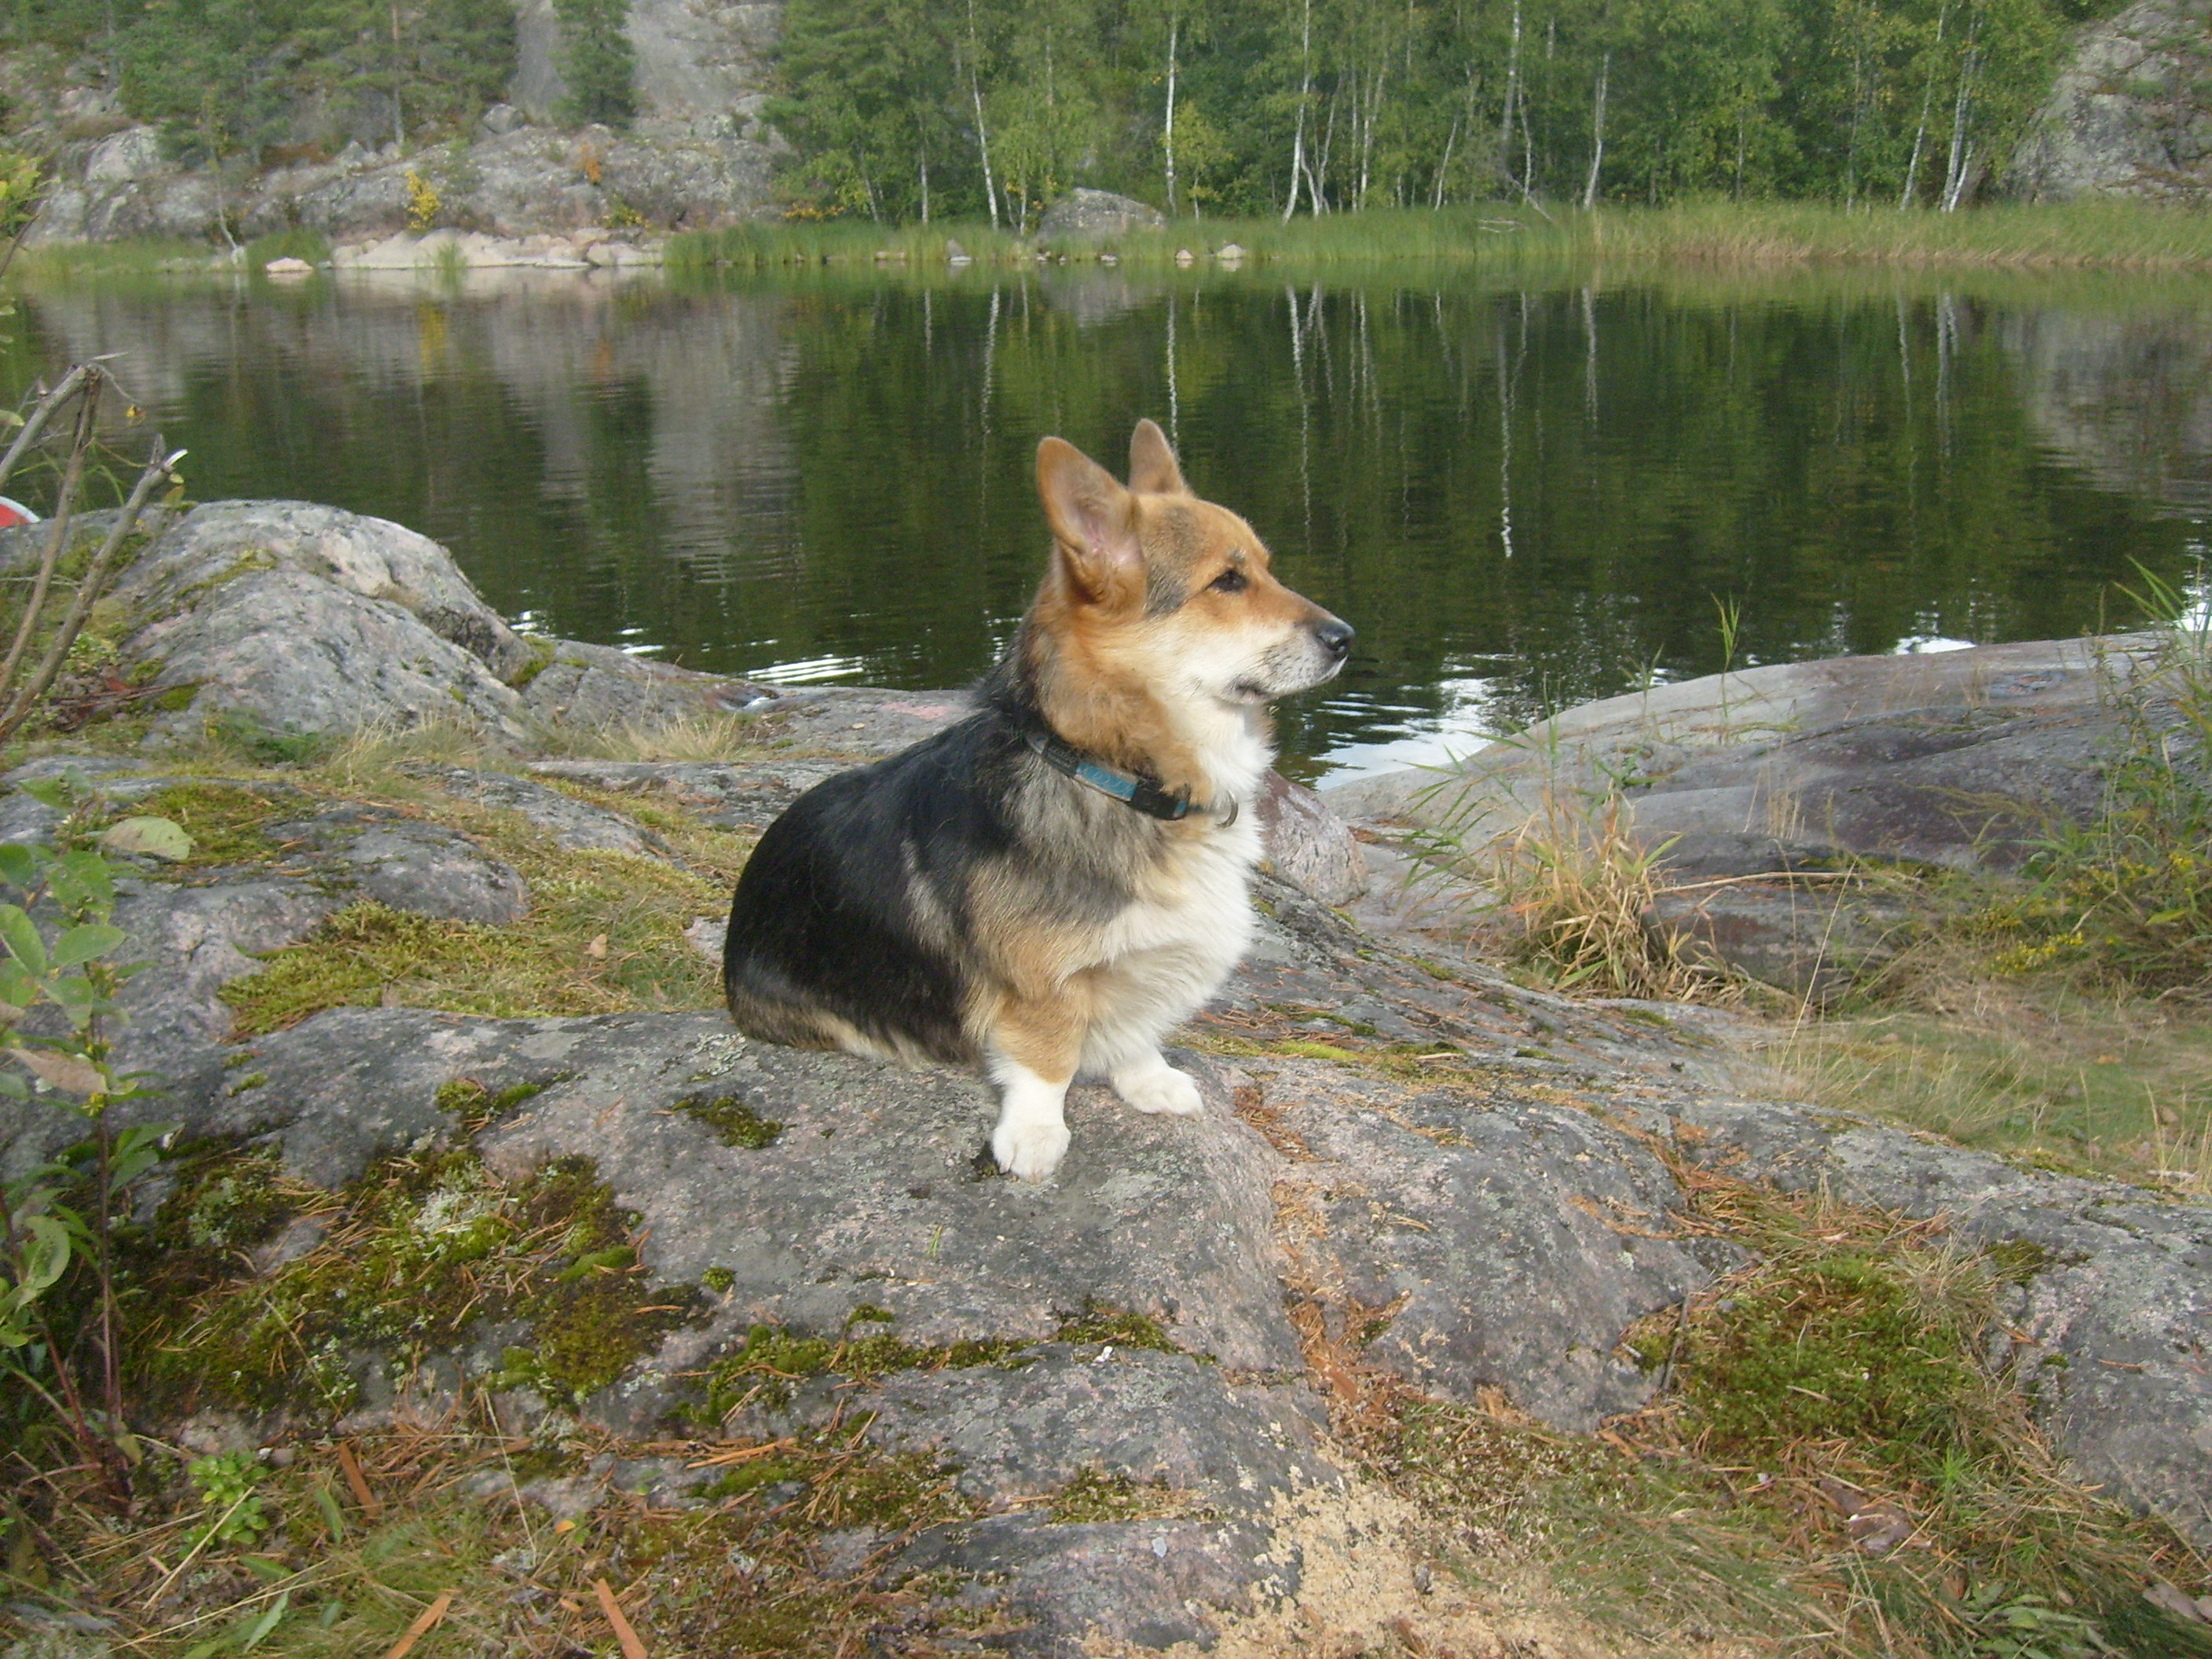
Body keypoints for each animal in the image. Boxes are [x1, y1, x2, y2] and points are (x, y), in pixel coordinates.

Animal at [721, 419, 1352, 1180]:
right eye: (1227, 582)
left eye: (1264, 567)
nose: (1347, 639)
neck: (1113, 772)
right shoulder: (1039, 987)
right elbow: (1045, 1055)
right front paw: (1034, 1134)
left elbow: (1134, 1028)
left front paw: (1148, 1081)